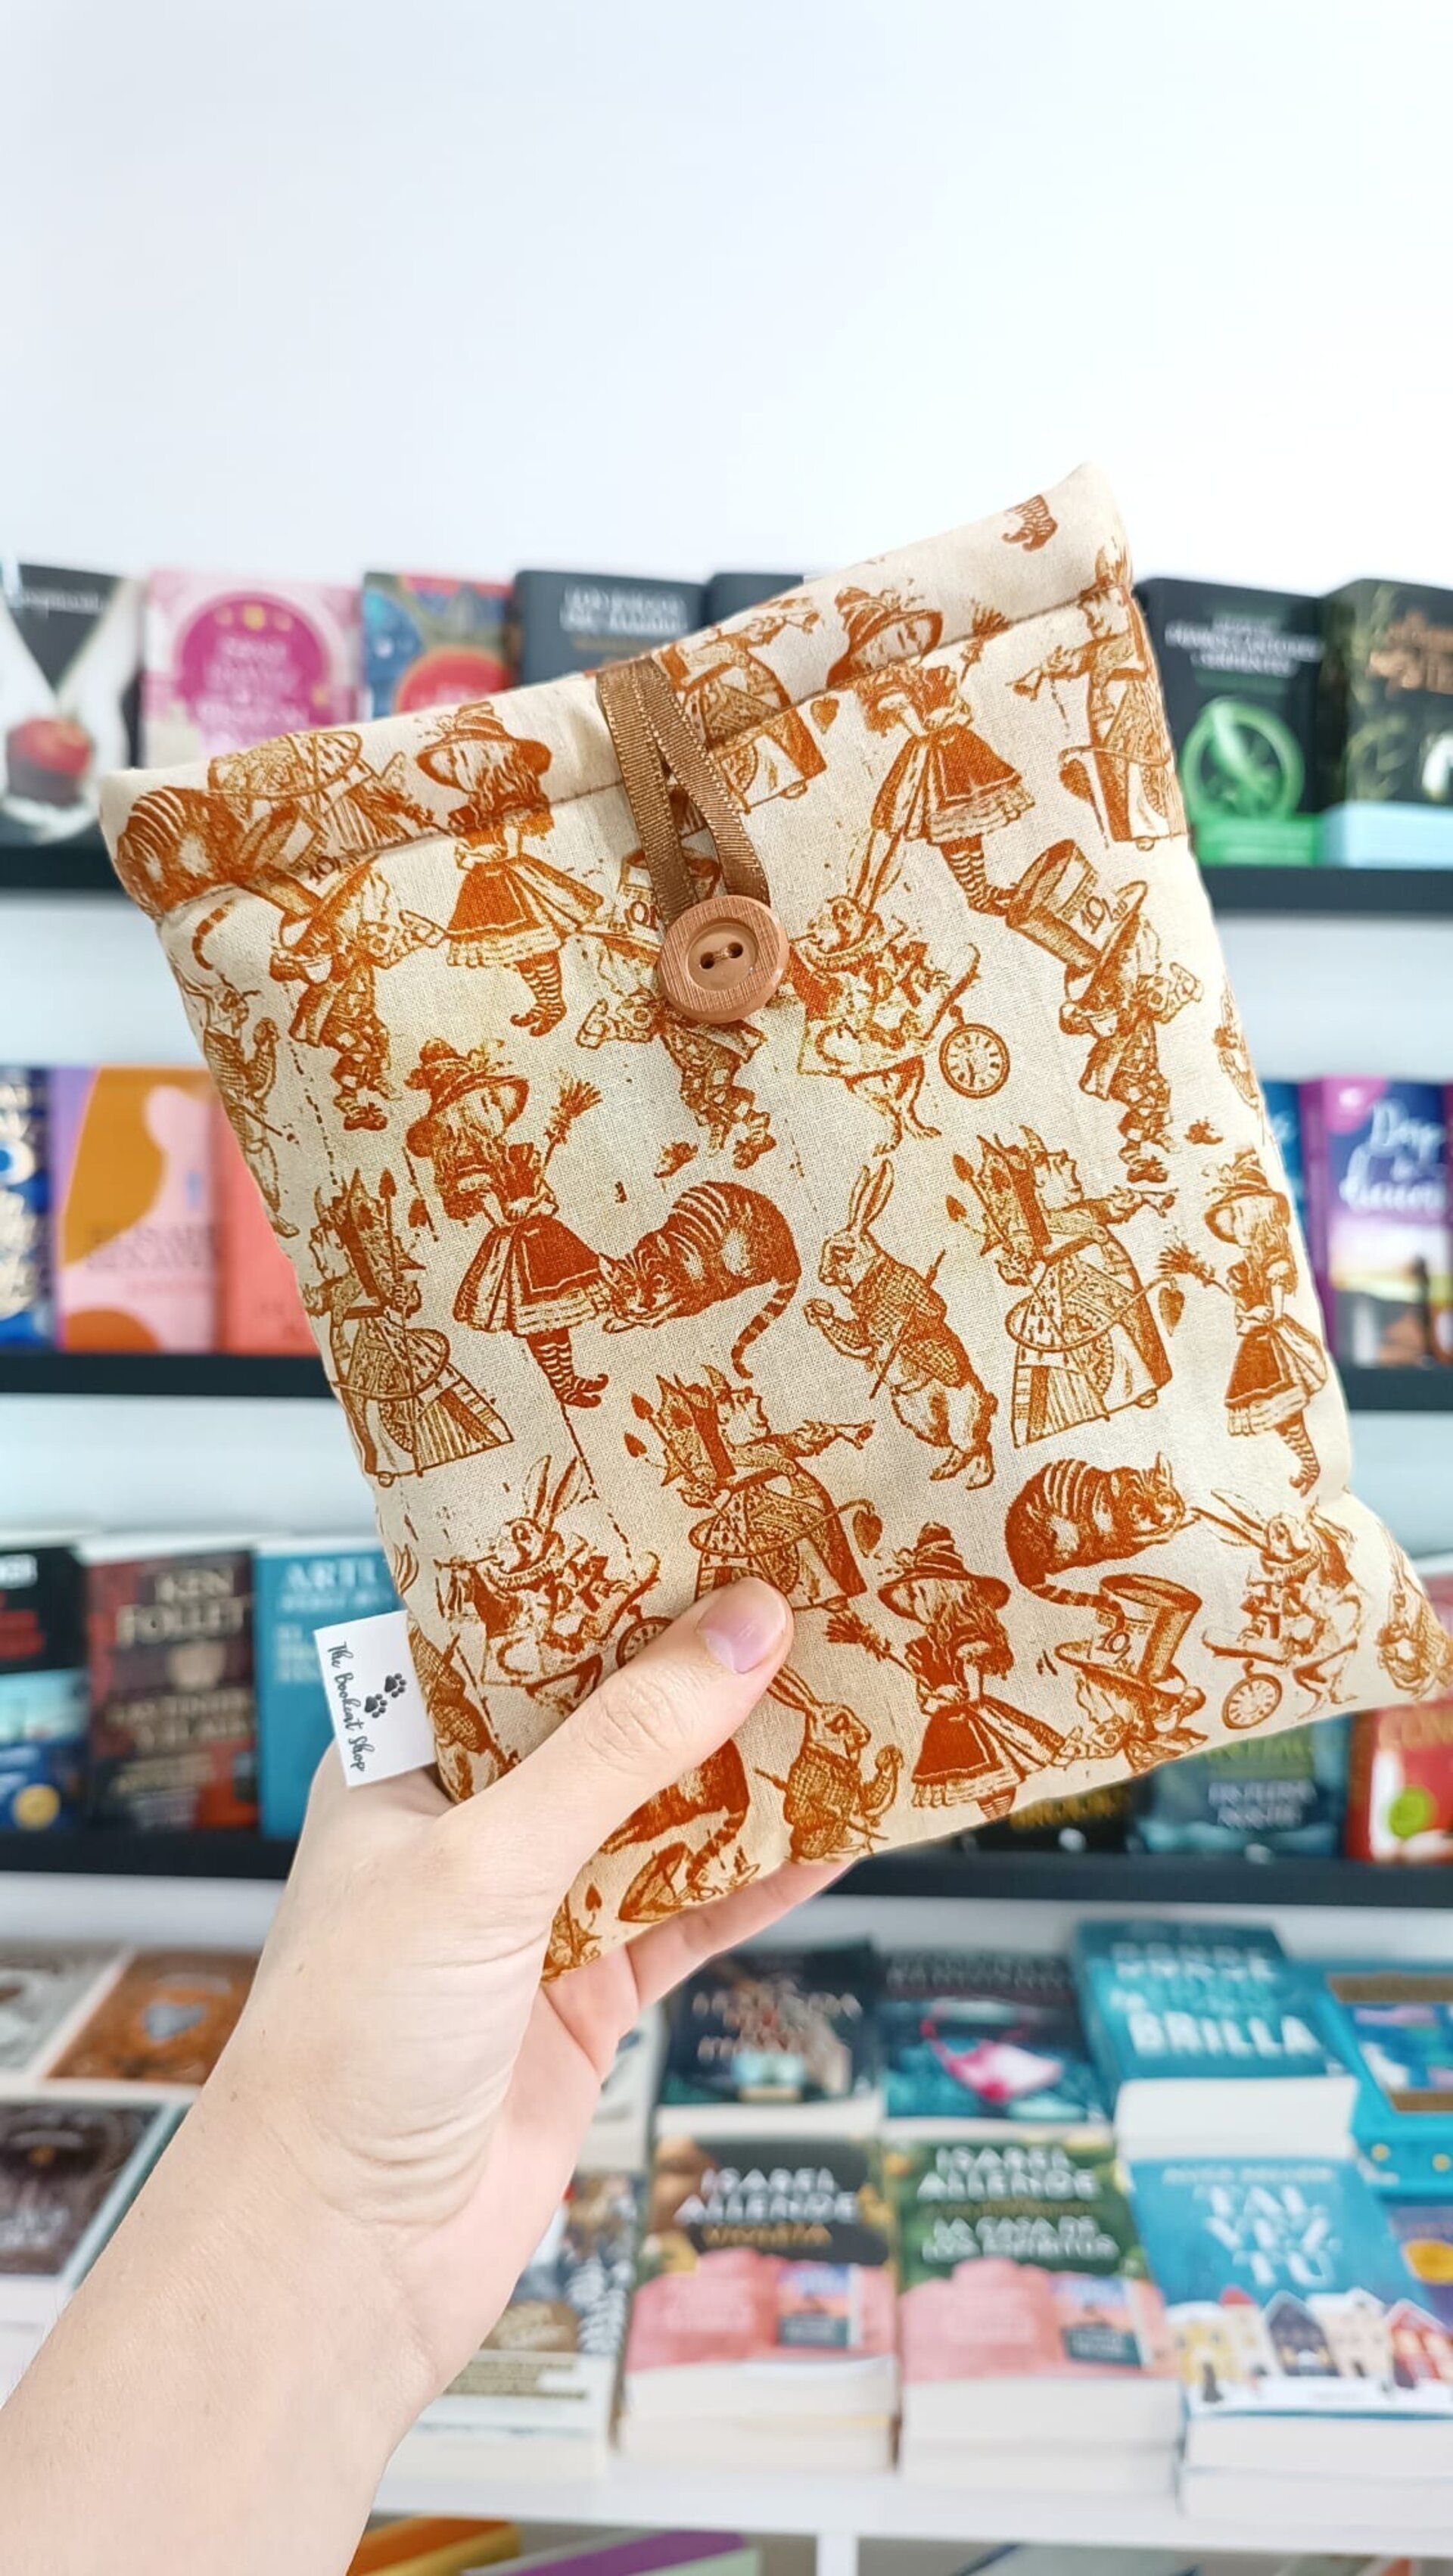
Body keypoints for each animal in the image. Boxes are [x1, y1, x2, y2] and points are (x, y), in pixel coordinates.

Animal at [805, 1157, 996, 1486]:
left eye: (842, 1252)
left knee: (978, 1444)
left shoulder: (914, 1290)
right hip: (925, 1423)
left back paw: (978, 1478)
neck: (871, 1280)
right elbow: (855, 1341)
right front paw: (816, 1311)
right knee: (958, 1448)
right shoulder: (863, 1333)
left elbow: (932, 1311)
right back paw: (944, 1471)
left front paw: (898, 1333)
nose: (823, 1276)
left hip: (963, 1419)